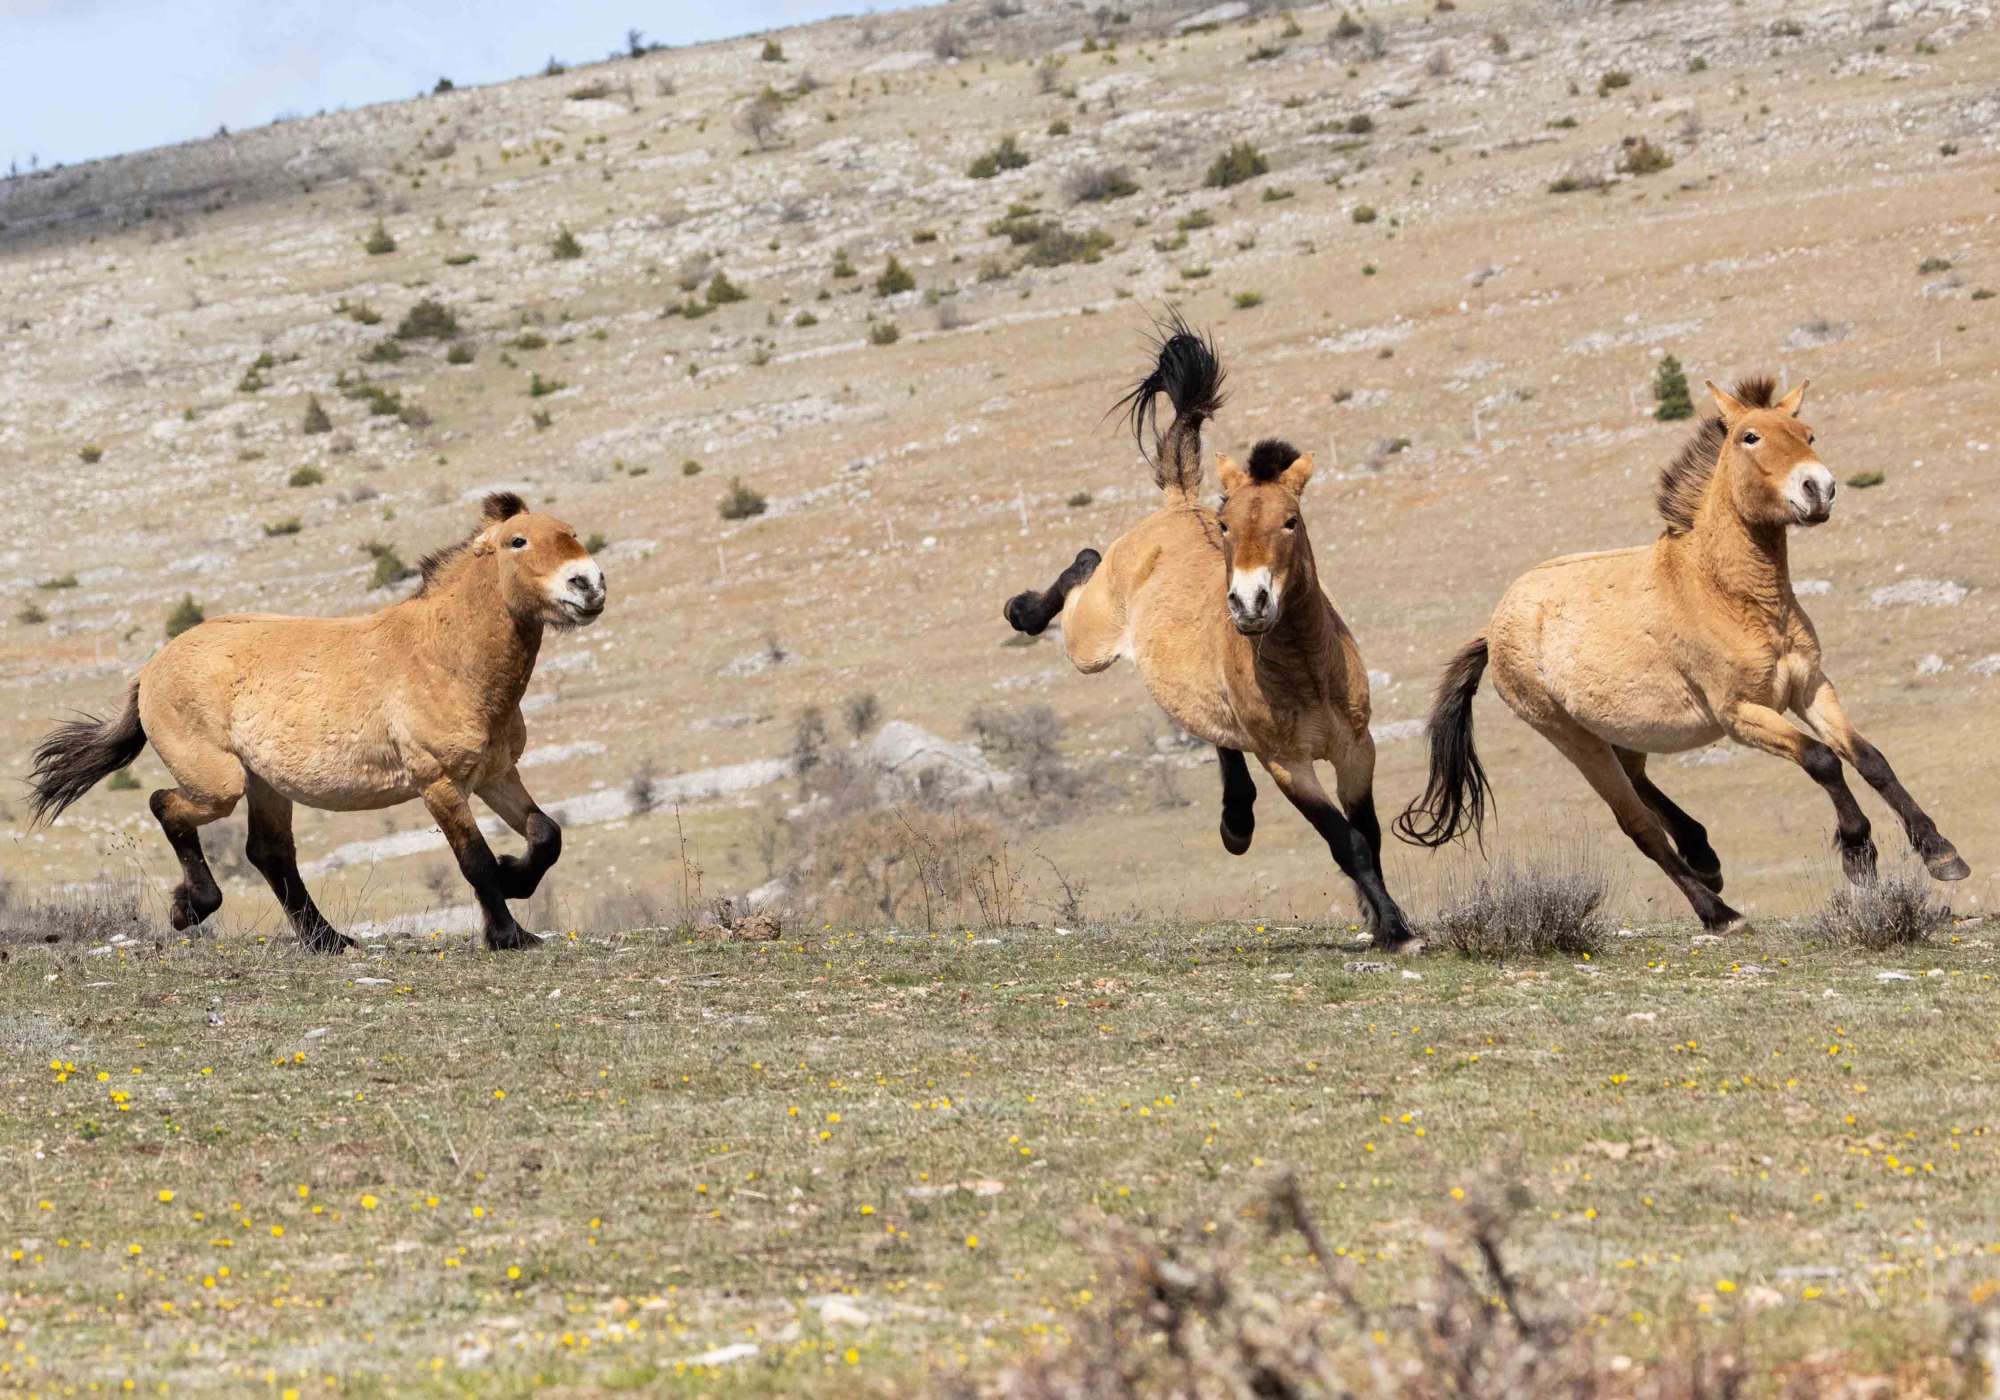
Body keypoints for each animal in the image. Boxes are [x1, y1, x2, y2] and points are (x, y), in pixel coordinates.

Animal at [27, 491, 607, 954]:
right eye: (518, 541)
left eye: (572, 533)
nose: (589, 584)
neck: (444, 659)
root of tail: (151, 668)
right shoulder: (438, 783)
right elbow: (475, 859)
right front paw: (508, 934)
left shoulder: (495, 775)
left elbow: (545, 834)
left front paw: (515, 887)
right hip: (221, 783)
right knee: (166, 806)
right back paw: (191, 908)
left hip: (265, 784)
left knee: (268, 853)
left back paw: (324, 939)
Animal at [1003, 318, 1416, 948]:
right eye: (1226, 524)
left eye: (1291, 521)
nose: (1249, 603)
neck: (1305, 670)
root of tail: (1178, 503)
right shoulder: (1288, 764)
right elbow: (1347, 842)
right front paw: (1393, 927)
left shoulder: (1356, 749)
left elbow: (1367, 833)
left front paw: (1379, 919)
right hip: (1088, 643)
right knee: (1083, 565)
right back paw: (1021, 610)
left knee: (1214, 731)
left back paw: (1237, 823)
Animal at [1396, 377, 1969, 930]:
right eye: (1750, 437)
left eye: (1809, 434)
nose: (1819, 489)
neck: (1729, 594)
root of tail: (1494, 627)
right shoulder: (1741, 714)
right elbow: (1822, 760)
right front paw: (1858, 854)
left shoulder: (1811, 688)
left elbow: (1870, 758)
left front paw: (1941, 853)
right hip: (1570, 737)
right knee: (1638, 824)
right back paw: (1719, 913)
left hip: (1618, 730)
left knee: (1639, 781)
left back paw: (1704, 857)